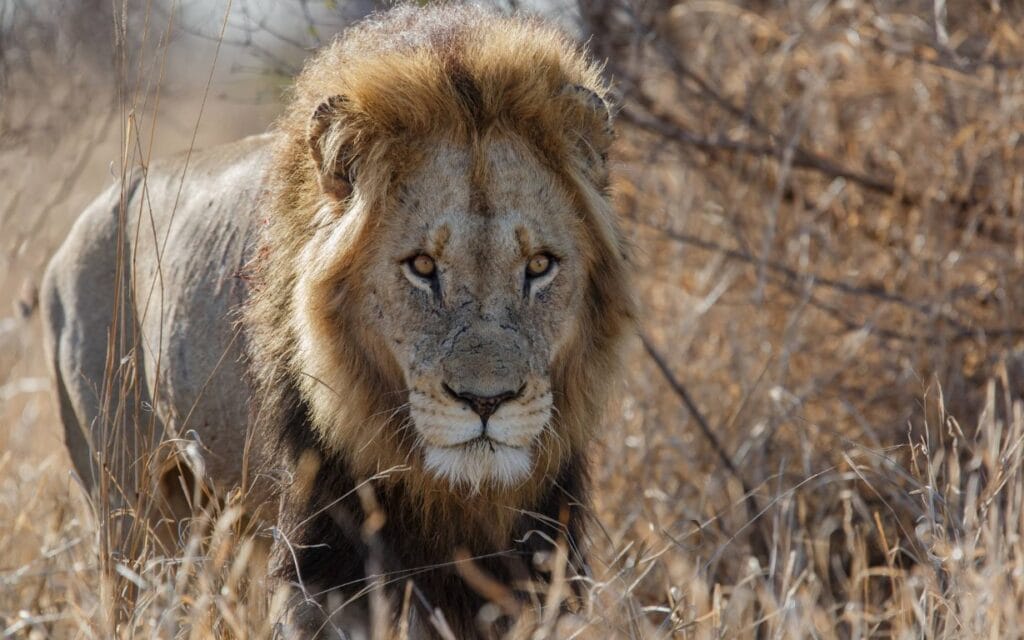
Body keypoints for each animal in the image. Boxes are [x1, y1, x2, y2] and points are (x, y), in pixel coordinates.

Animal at [41, 3, 630, 634]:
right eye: (422, 266)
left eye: (539, 265)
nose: (486, 401)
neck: (451, 488)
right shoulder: (321, 559)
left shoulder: (538, 554)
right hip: (130, 503)